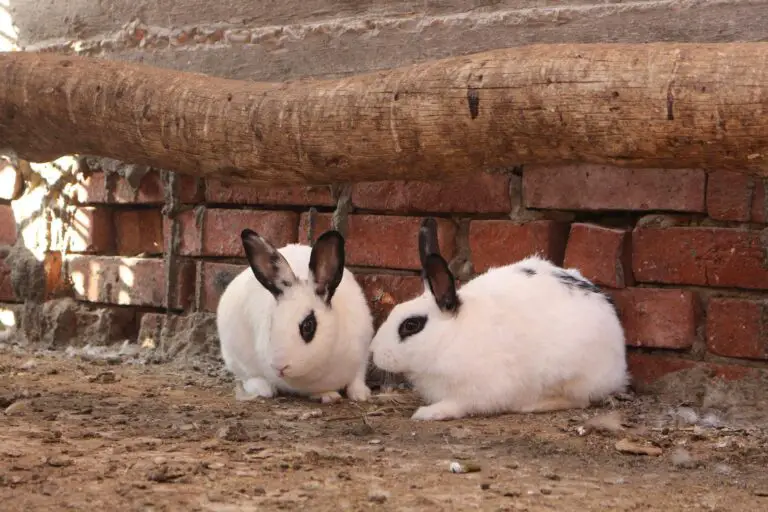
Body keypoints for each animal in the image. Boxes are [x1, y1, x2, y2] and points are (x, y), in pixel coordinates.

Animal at [216, 228, 374, 404]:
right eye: (271, 323)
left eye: (308, 325)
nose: (279, 366)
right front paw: (328, 395)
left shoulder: (363, 353)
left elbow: (357, 377)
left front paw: (360, 394)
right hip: (235, 356)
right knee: (247, 377)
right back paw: (265, 389)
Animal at [369, 218, 629, 420]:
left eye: (411, 325)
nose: (373, 352)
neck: (451, 337)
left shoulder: (478, 390)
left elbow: (457, 405)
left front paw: (427, 413)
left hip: (572, 375)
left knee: (580, 400)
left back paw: (534, 405)